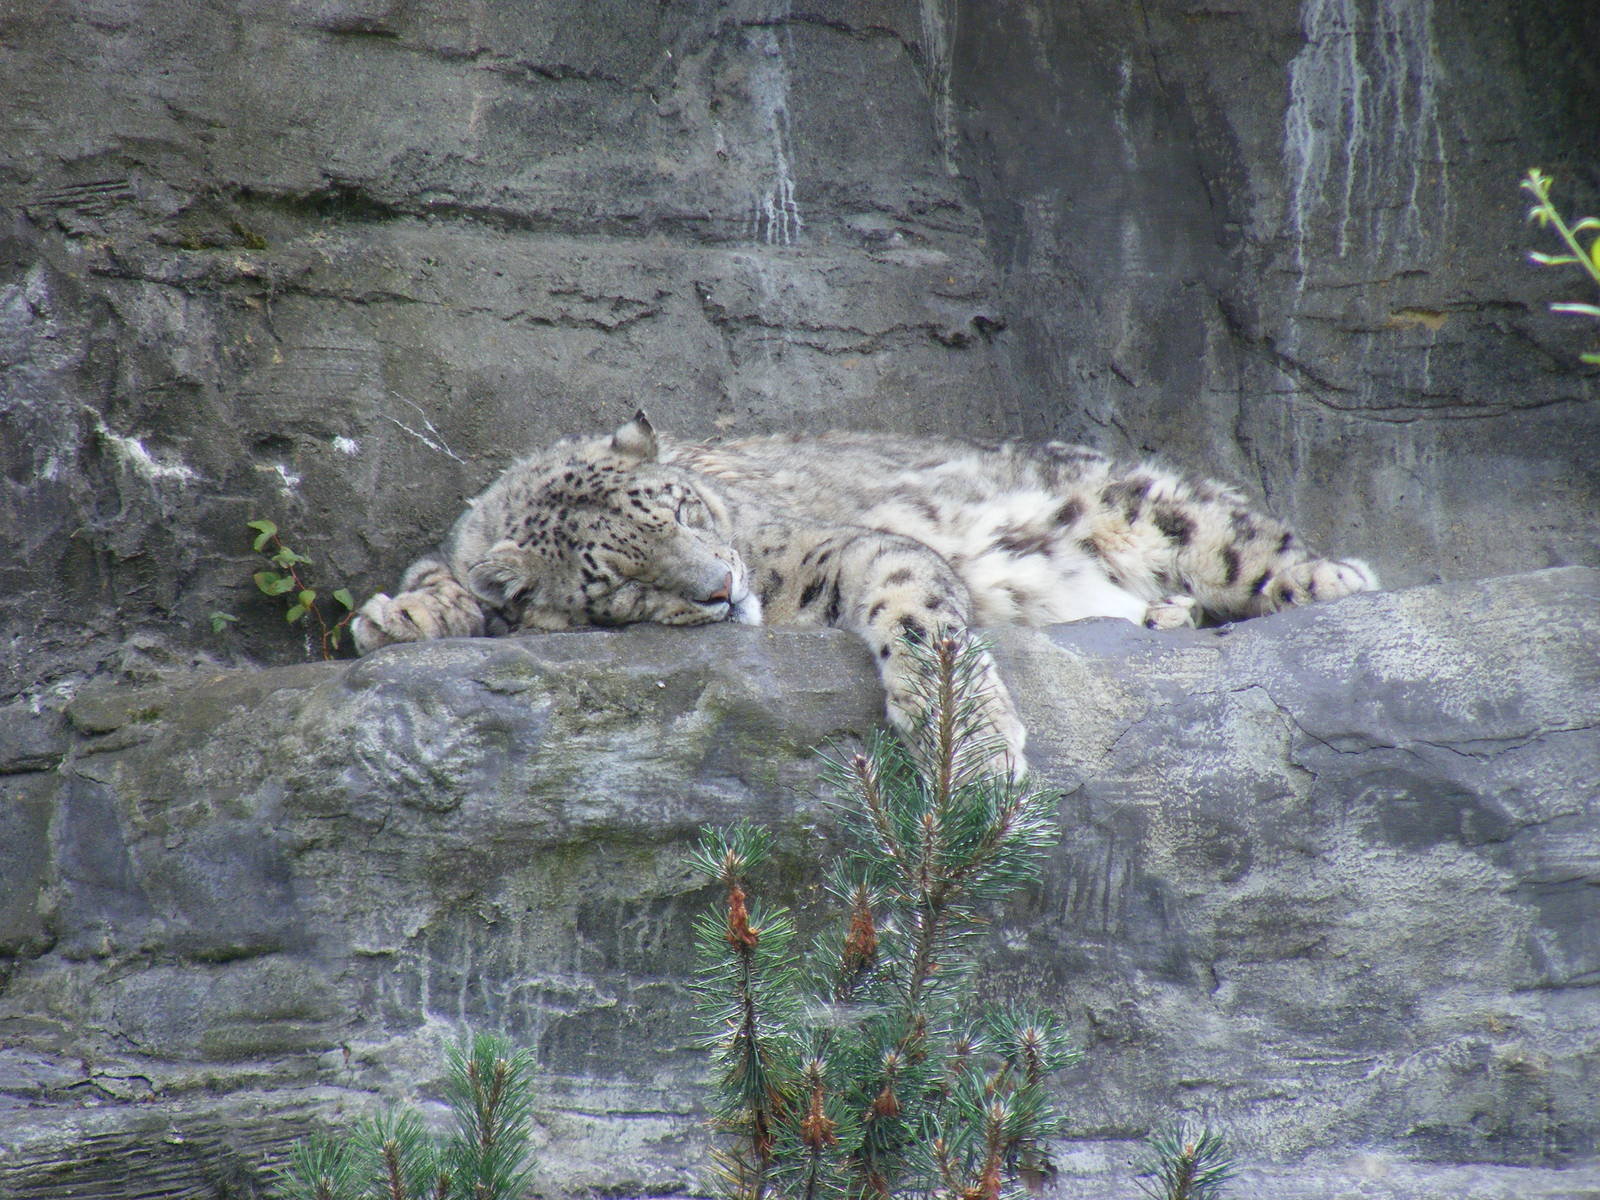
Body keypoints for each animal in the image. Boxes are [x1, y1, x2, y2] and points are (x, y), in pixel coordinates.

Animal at [352, 412, 1377, 776]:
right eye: (620, 579)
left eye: (681, 507)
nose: (723, 589)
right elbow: (447, 578)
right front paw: (400, 614)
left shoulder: (828, 547)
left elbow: (916, 609)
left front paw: (970, 752)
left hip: (1154, 509)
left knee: (1247, 543)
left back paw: (1335, 578)